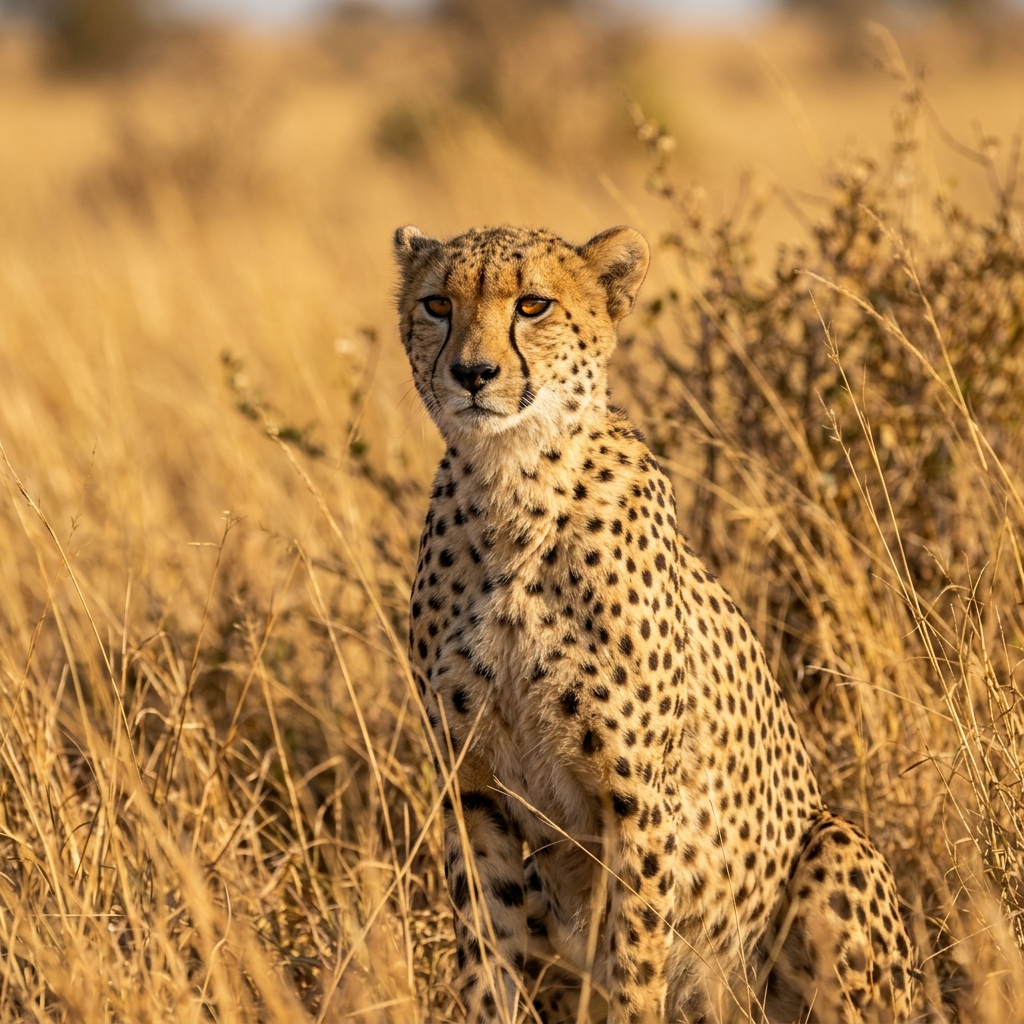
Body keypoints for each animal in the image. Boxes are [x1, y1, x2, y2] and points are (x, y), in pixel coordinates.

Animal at [394, 222, 920, 1024]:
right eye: (436, 304)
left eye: (532, 304)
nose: (473, 373)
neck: (513, 487)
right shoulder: (472, 785)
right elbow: (486, 950)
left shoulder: (636, 799)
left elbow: (634, 957)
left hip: (834, 846)